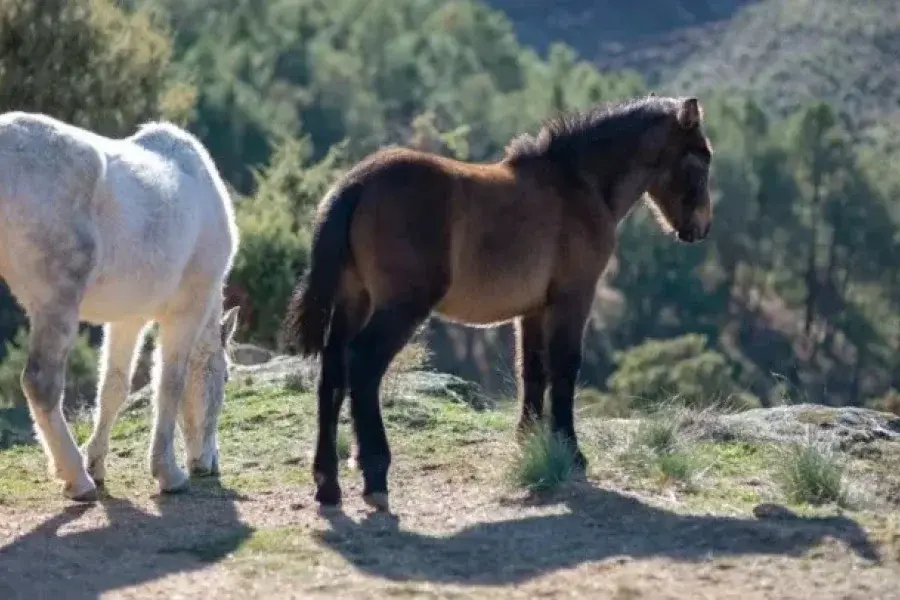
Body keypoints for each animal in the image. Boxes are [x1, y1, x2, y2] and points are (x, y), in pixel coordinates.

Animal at [0, 111, 240, 502]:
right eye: (226, 375)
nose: (209, 462)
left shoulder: (129, 317)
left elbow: (113, 386)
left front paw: (97, 464)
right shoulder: (188, 308)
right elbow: (170, 382)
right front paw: (168, 473)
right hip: (56, 302)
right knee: (41, 383)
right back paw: (76, 479)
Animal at [283, 94, 715, 512]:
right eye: (701, 160)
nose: (701, 228)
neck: (578, 183)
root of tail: (355, 185)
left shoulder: (534, 309)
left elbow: (533, 370)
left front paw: (529, 440)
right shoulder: (573, 296)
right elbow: (565, 368)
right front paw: (573, 453)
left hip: (353, 299)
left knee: (332, 372)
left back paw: (327, 484)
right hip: (399, 307)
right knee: (363, 365)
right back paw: (375, 477)